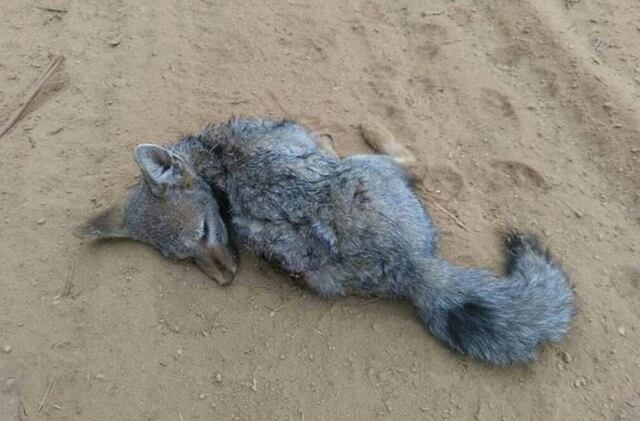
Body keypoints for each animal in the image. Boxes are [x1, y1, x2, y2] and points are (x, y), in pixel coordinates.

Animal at [79, 117, 575, 365]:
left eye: (204, 234)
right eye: (185, 258)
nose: (225, 279)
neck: (215, 165)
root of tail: (412, 267)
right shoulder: (305, 139)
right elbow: (327, 141)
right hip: (365, 166)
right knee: (414, 163)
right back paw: (376, 130)